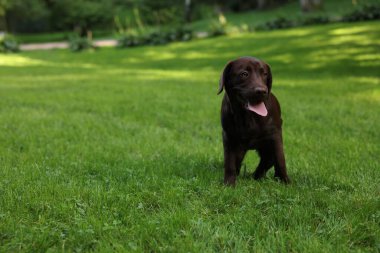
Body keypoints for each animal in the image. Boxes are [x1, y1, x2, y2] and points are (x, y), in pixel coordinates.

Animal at [218, 56, 290, 185]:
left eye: (265, 74)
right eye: (244, 74)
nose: (261, 91)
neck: (248, 117)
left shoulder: (275, 135)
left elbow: (280, 159)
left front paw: (285, 182)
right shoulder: (228, 137)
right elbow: (229, 162)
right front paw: (229, 184)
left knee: (268, 161)